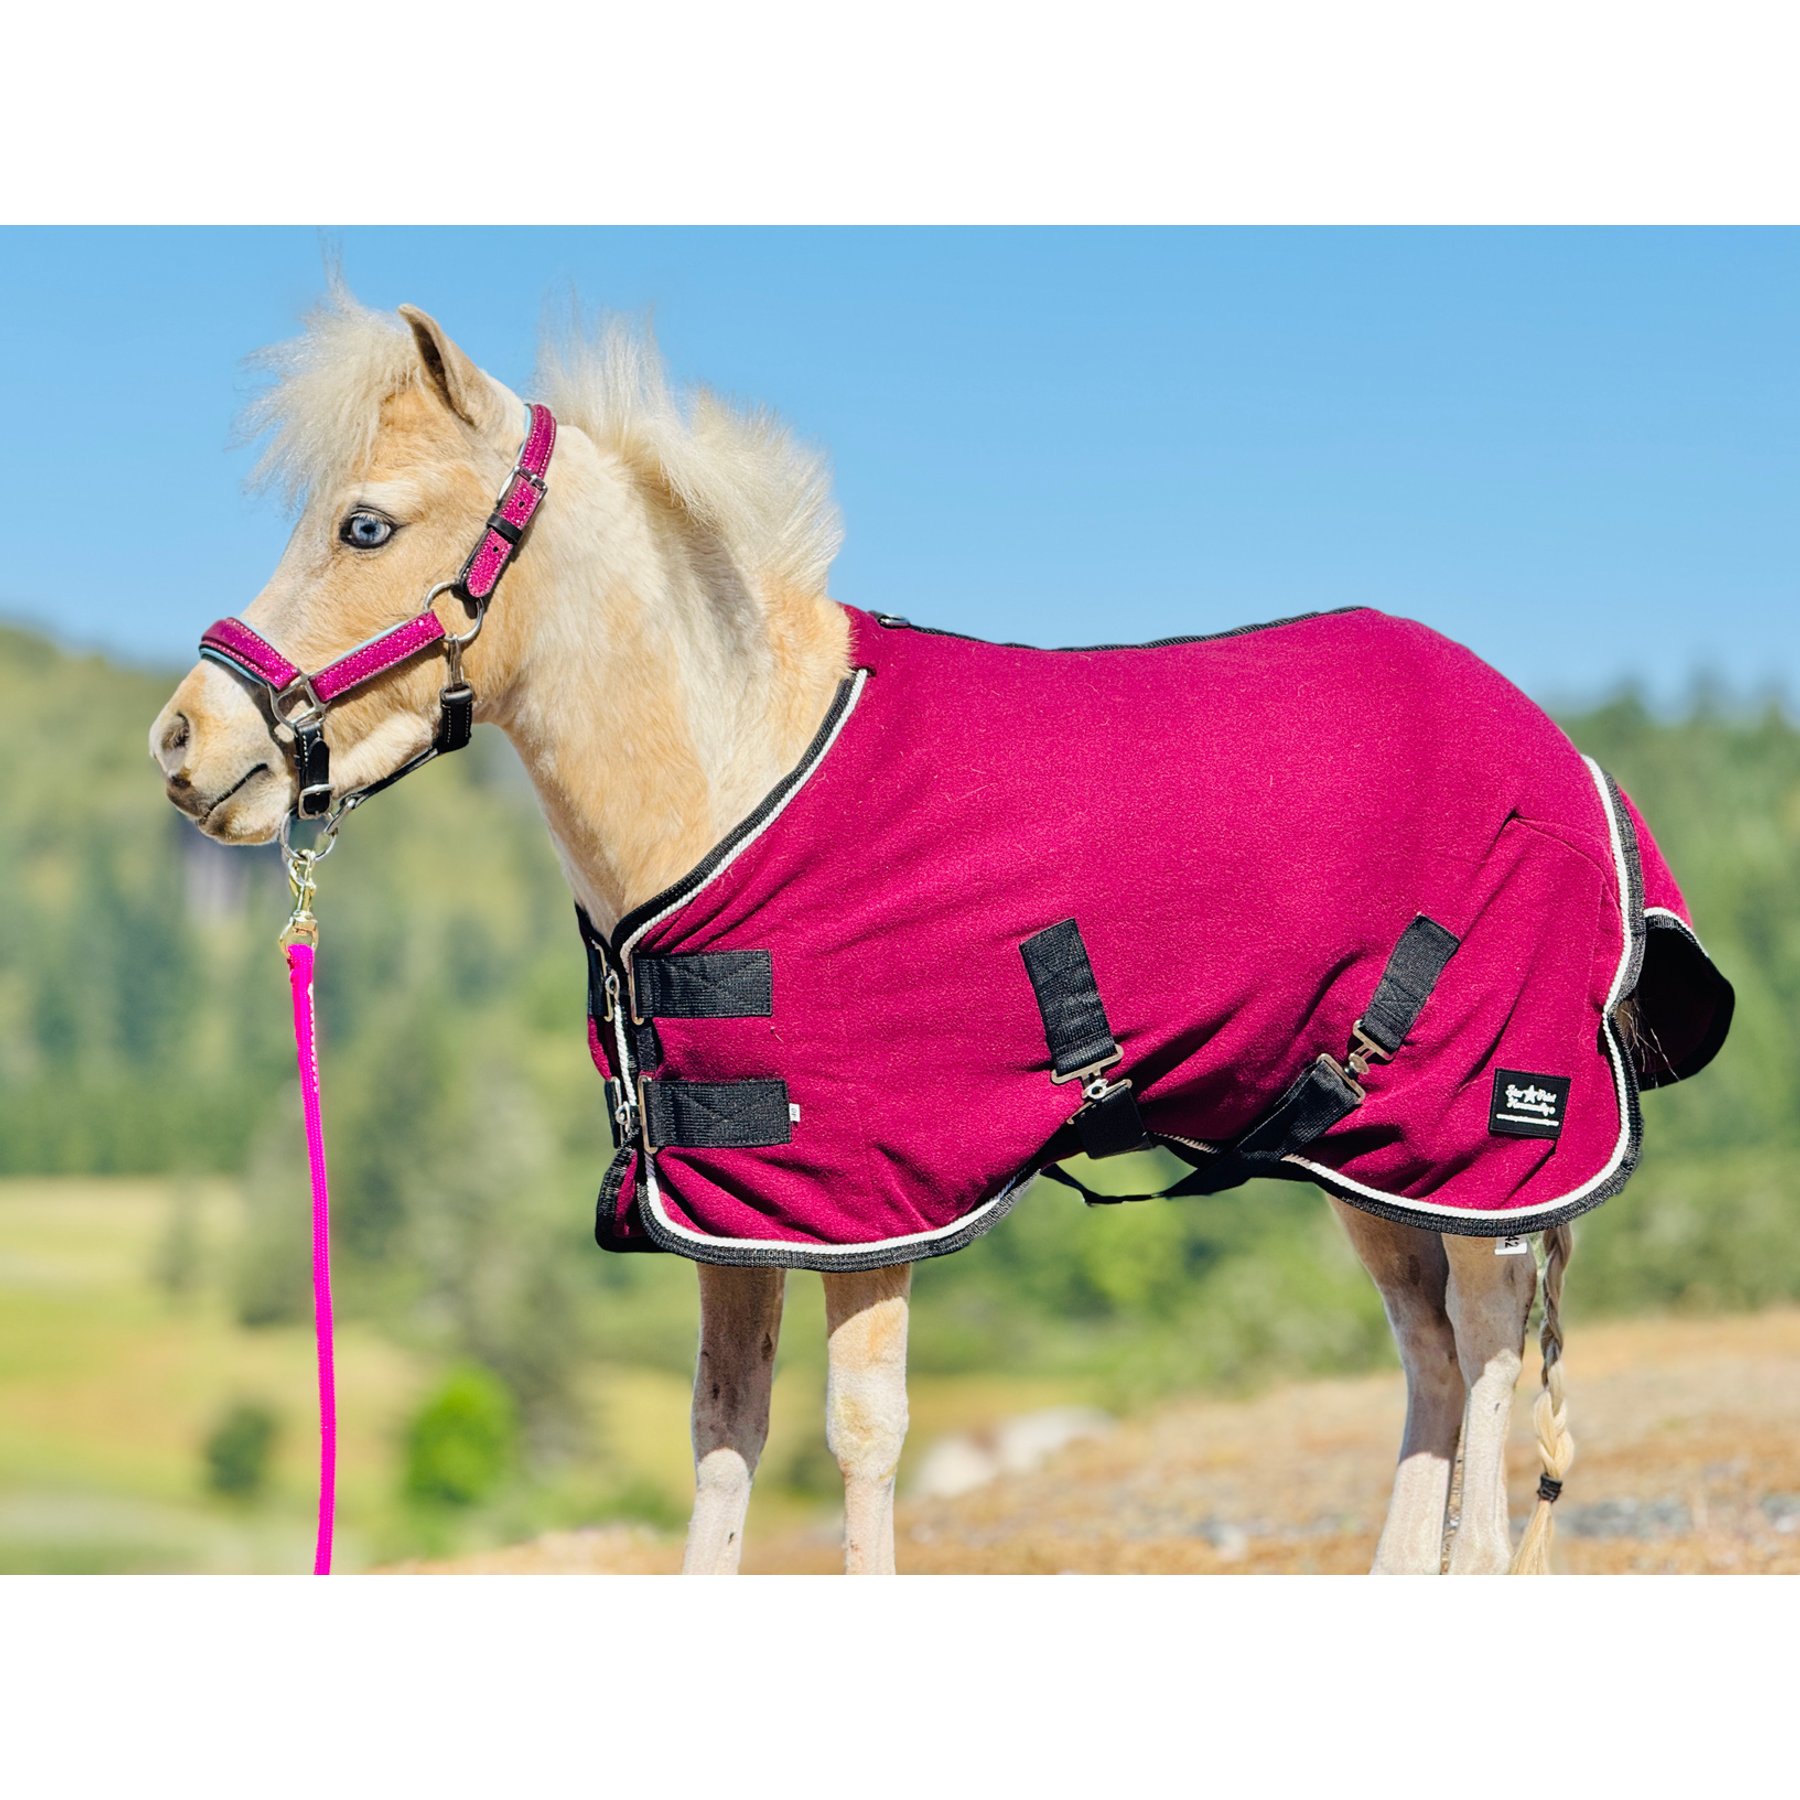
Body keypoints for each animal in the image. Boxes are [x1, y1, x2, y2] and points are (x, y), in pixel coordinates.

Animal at [150, 287, 1725, 1574]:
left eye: (365, 523)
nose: (183, 742)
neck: (739, 770)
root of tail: (1564, 752)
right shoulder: (737, 1213)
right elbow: (723, 1439)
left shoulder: (873, 1203)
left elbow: (860, 1441)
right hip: (1367, 1157)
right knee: (1432, 1362)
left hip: (1485, 1148)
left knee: (1489, 1360)